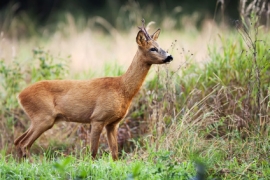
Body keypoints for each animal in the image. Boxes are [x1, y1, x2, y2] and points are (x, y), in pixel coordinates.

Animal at [14, 19, 173, 160]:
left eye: (160, 45)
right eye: (152, 48)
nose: (169, 56)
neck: (122, 89)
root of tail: (20, 95)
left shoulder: (113, 123)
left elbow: (115, 154)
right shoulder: (97, 118)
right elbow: (93, 152)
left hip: (40, 119)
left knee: (18, 141)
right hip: (43, 116)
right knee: (24, 144)